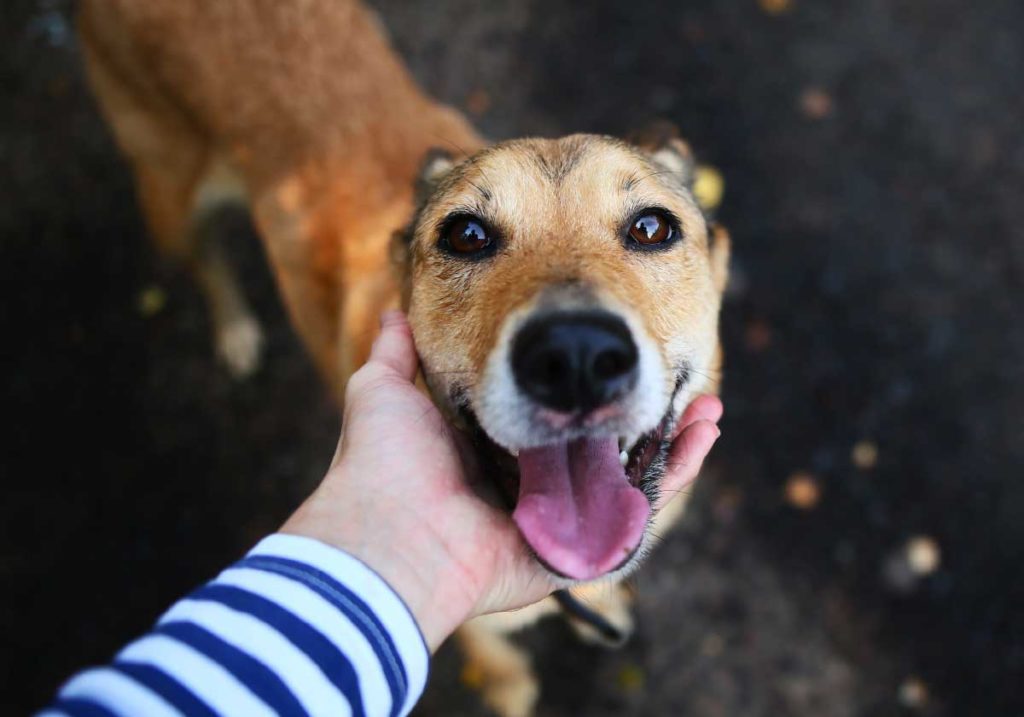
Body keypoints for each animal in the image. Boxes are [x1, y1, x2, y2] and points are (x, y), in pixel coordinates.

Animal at [81, 1, 729, 712]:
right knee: (203, 258)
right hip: (167, 192)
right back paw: (235, 329)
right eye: (466, 234)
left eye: (652, 227)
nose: (576, 357)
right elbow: (505, 674)